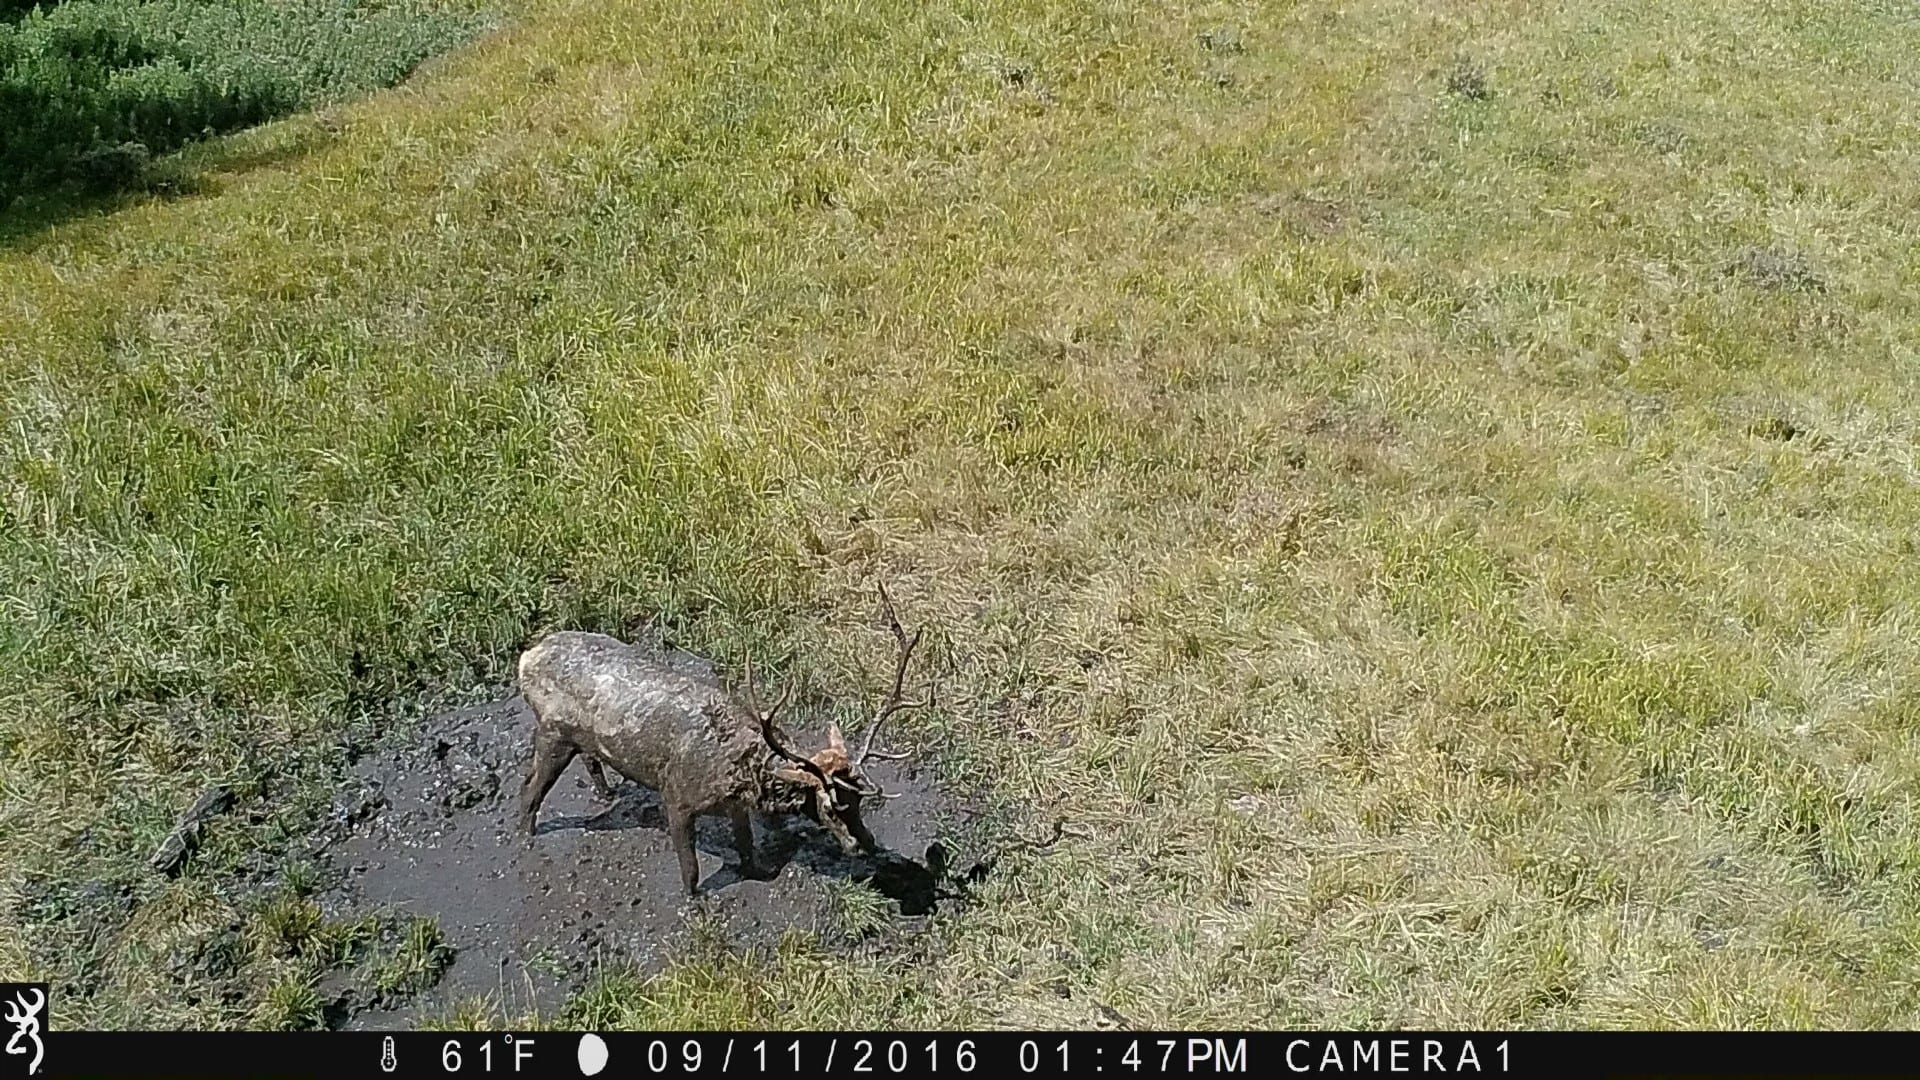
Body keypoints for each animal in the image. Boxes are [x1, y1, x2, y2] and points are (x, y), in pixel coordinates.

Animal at [515, 585, 934, 896]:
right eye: (830, 807)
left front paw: (759, 871)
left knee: (589, 759)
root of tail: (526, 656)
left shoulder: (735, 806)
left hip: (576, 737)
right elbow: (690, 868)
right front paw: (695, 900)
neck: (745, 775)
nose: (865, 844)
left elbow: (746, 846)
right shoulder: (676, 797)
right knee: (529, 788)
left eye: (860, 800)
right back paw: (527, 835)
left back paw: (605, 794)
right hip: (552, 731)